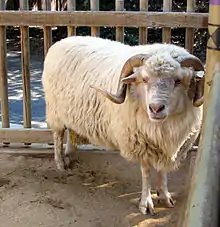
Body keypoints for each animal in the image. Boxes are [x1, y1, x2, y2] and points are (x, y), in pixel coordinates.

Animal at [41, 35, 205, 215]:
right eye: (144, 79)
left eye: (178, 81)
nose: (155, 108)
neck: (161, 127)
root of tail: (61, 41)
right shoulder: (141, 144)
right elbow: (146, 173)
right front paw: (146, 203)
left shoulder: (165, 146)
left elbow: (163, 172)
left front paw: (165, 196)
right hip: (55, 111)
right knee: (57, 136)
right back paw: (60, 164)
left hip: (71, 111)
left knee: (71, 131)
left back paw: (70, 154)